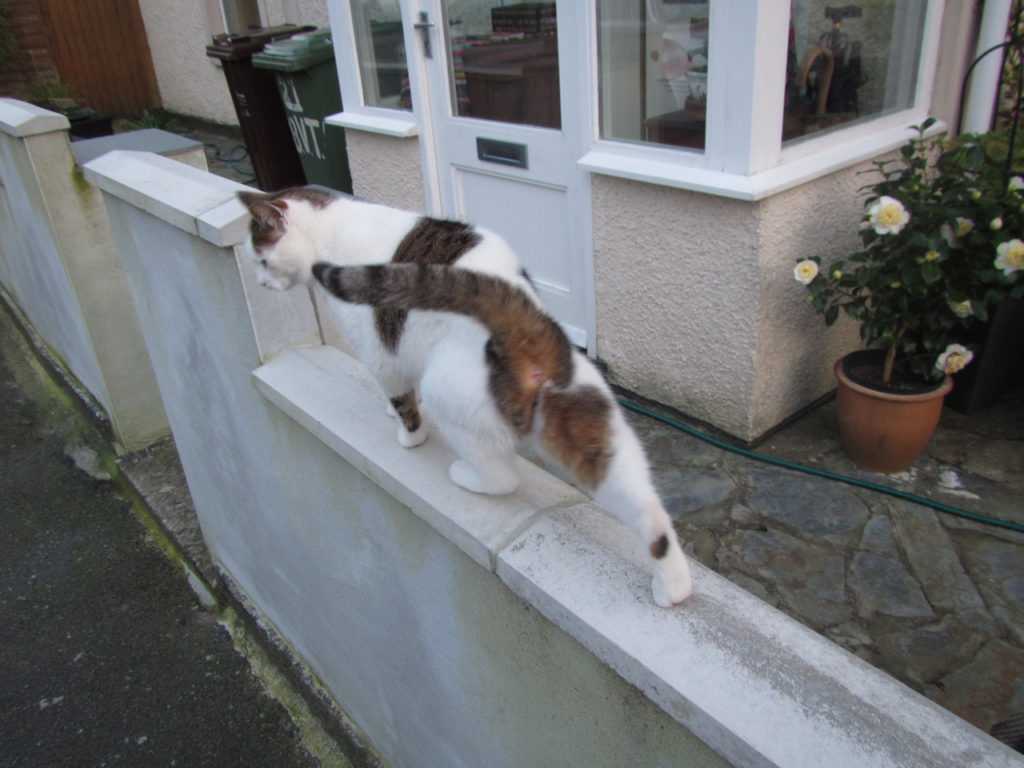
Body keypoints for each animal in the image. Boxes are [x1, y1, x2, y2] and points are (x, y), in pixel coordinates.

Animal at [237, 189, 696, 610]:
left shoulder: (380, 354)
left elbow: (402, 400)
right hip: (593, 428)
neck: (331, 226)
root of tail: (524, 322)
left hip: (449, 394)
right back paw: (673, 587)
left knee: (504, 478)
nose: (259, 283)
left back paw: (466, 476)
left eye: (262, 260)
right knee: (650, 513)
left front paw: (408, 435)